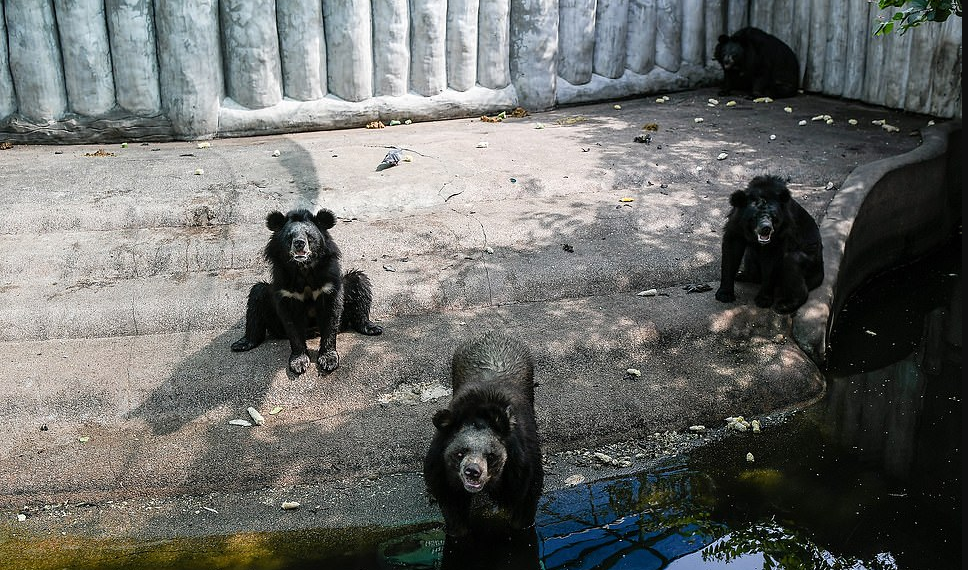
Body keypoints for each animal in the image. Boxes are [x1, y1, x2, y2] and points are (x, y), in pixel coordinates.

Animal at [233, 209, 384, 372]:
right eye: (289, 236)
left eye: (309, 236)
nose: (299, 243)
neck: (303, 268)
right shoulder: (286, 288)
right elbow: (292, 324)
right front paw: (299, 362)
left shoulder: (329, 284)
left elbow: (331, 315)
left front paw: (328, 360)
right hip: (273, 318)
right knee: (257, 295)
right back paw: (242, 344)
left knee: (360, 281)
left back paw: (371, 328)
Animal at [424, 330, 544, 536]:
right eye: (460, 453)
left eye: (491, 455)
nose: (472, 472)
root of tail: (491, 333)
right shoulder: (442, 473)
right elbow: (452, 508)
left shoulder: (523, 467)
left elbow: (526, 500)